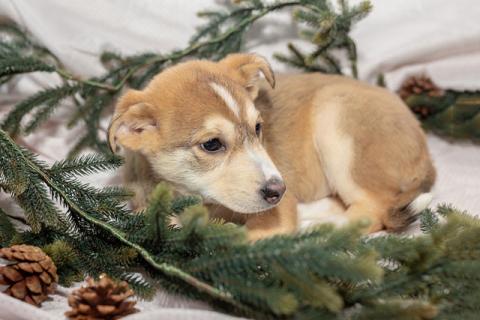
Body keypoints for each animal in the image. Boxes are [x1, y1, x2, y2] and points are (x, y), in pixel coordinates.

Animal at [108, 53, 436, 240]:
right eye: (212, 144)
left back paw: (314, 229)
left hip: (336, 122)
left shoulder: (273, 216)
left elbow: (243, 239)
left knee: (372, 211)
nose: (279, 191)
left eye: (258, 128)